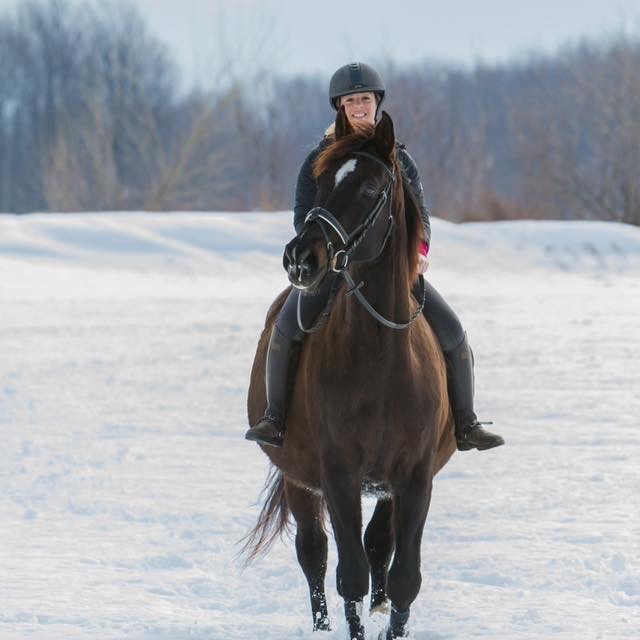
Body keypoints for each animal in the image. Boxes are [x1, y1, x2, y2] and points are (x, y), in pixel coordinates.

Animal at [244, 107, 456, 636]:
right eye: (319, 181)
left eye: (369, 188)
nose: (301, 258)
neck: (380, 357)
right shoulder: (337, 474)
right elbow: (349, 574)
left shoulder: (414, 477)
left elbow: (404, 577)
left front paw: (391, 623)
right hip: (300, 480)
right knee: (314, 553)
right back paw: (321, 626)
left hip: (383, 487)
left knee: (379, 543)